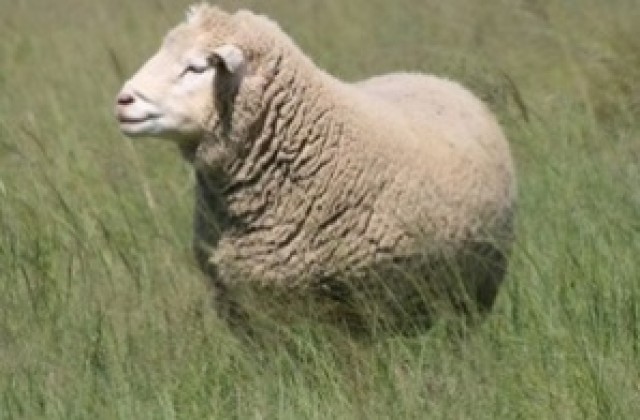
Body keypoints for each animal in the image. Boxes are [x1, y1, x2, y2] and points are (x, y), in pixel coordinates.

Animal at [115, 3, 516, 334]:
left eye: (196, 67)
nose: (123, 101)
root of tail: (430, 77)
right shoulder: (244, 306)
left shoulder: (369, 304)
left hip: (472, 293)